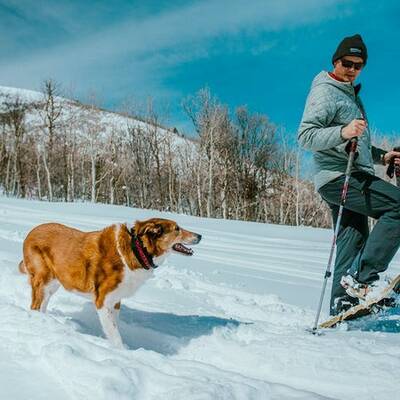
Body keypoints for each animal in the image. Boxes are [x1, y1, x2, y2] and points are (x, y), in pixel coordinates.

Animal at [19, 219, 202, 346]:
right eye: (177, 229)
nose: (200, 236)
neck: (137, 250)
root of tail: (31, 232)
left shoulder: (115, 301)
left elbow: (113, 327)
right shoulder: (103, 300)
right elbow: (115, 334)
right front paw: (123, 352)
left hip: (54, 283)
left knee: (42, 304)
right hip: (44, 280)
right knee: (35, 306)